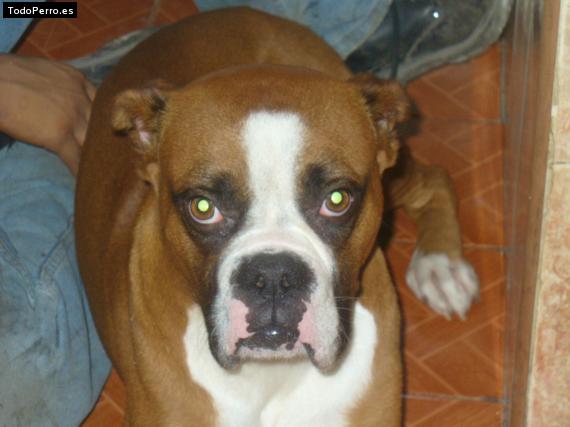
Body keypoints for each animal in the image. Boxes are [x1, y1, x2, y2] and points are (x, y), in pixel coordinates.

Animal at [75, 7, 479, 426]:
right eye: (203, 207)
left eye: (337, 199)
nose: (271, 277)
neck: (272, 376)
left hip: (394, 169)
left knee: (436, 179)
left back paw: (440, 266)